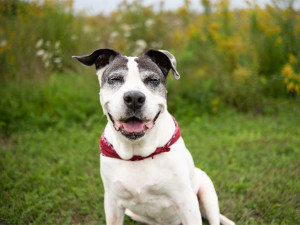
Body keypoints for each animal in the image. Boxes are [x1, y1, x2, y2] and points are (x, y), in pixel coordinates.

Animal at [73, 49, 234, 225]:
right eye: (114, 79)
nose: (134, 98)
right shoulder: (112, 204)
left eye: (153, 80)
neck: (137, 153)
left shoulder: (187, 203)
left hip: (206, 191)